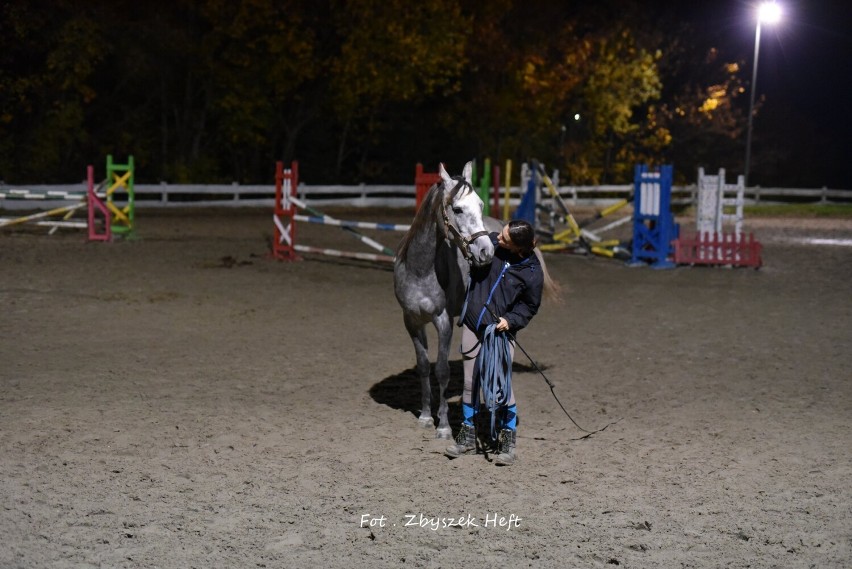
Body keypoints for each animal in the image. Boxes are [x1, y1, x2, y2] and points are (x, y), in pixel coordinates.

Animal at [392, 161, 496, 440]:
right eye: (457, 209)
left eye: (481, 204)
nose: (486, 251)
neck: (420, 269)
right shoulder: (411, 321)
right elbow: (423, 367)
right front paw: (427, 417)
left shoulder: (444, 321)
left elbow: (441, 370)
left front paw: (444, 426)